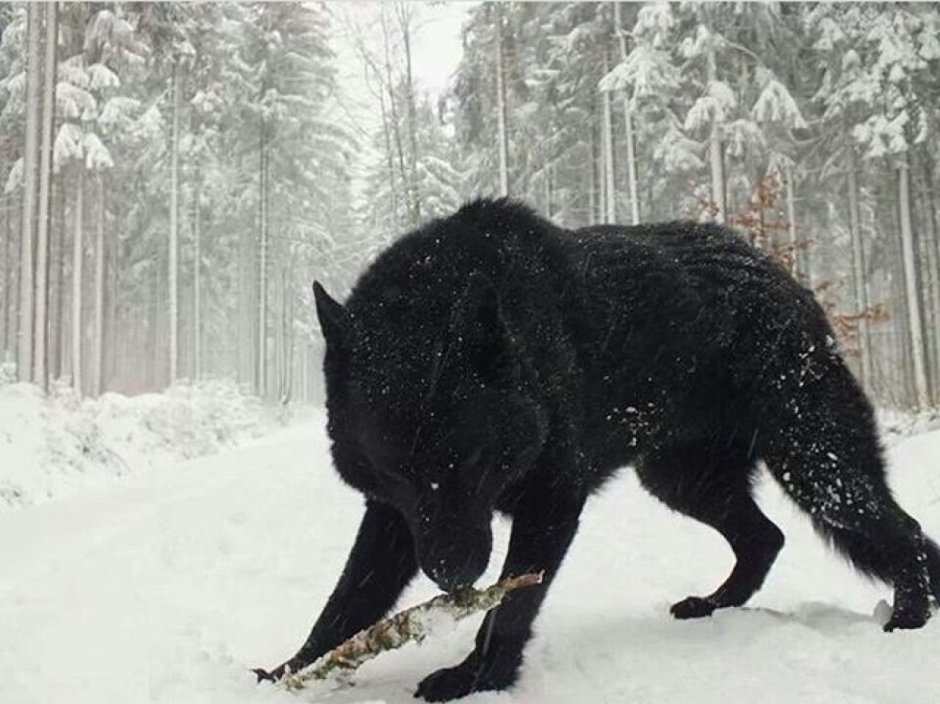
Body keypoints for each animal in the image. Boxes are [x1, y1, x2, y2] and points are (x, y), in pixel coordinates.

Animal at [257, 199, 940, 701]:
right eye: (396, 471)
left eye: (471, 460)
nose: (453, 577)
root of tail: (778, 273)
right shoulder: (397, 518)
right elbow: (346, 601)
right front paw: (289, 672)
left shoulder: (551, 503)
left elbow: (509, 608)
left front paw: (477, 679)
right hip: (682, 480)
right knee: (764, 538)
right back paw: (714, 605)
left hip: (817, 469)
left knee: (902, 530)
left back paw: (908, 618)